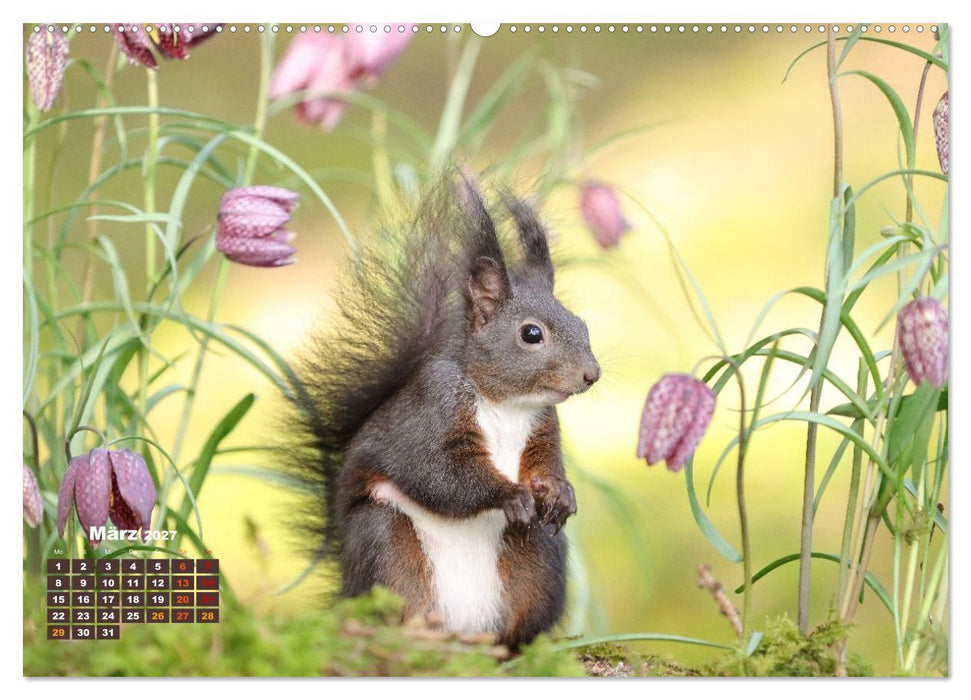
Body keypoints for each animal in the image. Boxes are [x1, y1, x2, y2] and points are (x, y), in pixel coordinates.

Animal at [286, 176, 601, 646]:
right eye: (531, 334)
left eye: (581, 325)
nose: (591, 374)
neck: (505, 403)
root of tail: (464, 630)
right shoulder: (432, 411)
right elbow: (438, 474)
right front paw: (510, 494)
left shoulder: (543, 426)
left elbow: (545, 464)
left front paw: (559, 492)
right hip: (384, 545)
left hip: (541, 559)